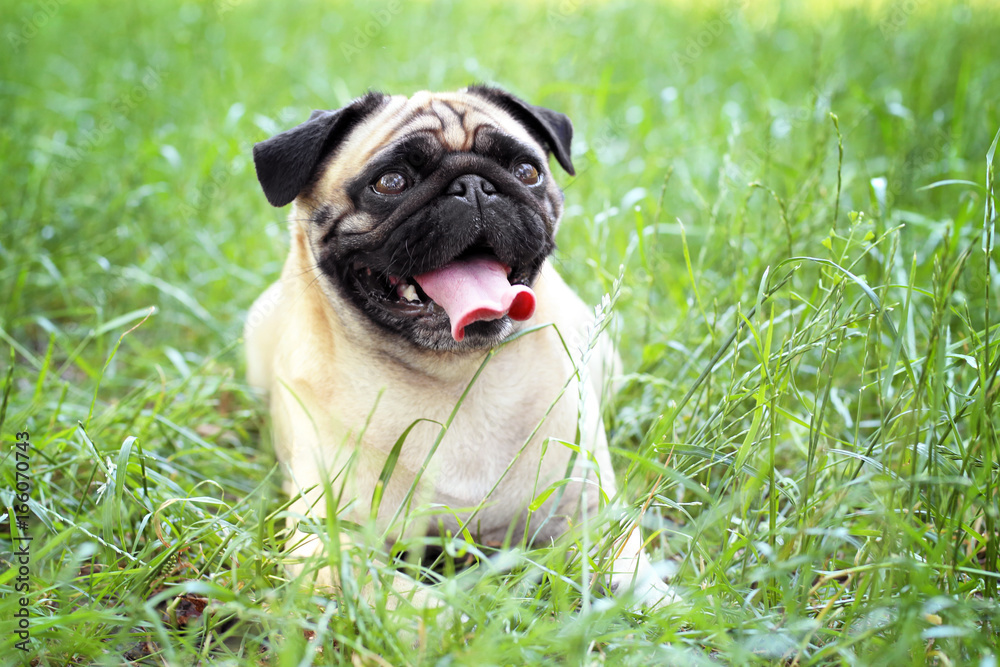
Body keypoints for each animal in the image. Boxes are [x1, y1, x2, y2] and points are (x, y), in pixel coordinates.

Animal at [246, 86, 676, 608]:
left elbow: (633, 576)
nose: (473, 186)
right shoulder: (327, 542)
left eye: (526, 172)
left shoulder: (589, 511)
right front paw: (461, 619)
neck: (456, 378)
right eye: (391, 182)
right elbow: (405, 600)